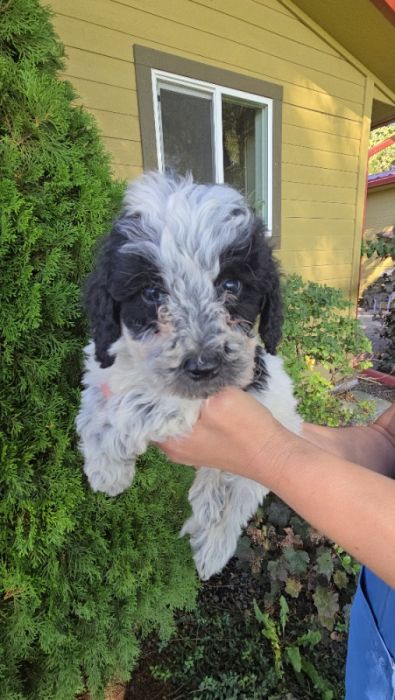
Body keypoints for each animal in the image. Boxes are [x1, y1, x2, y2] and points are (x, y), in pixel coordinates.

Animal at [76, 171, 302, 580]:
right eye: (152, 293)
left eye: (231, 285)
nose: (202, 366)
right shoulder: (103, 362)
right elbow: (93, 406)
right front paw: (105, 466)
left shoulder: (239, 387)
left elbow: (142, 406)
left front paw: (115, 445)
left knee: (237, 499)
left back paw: (212, 539)